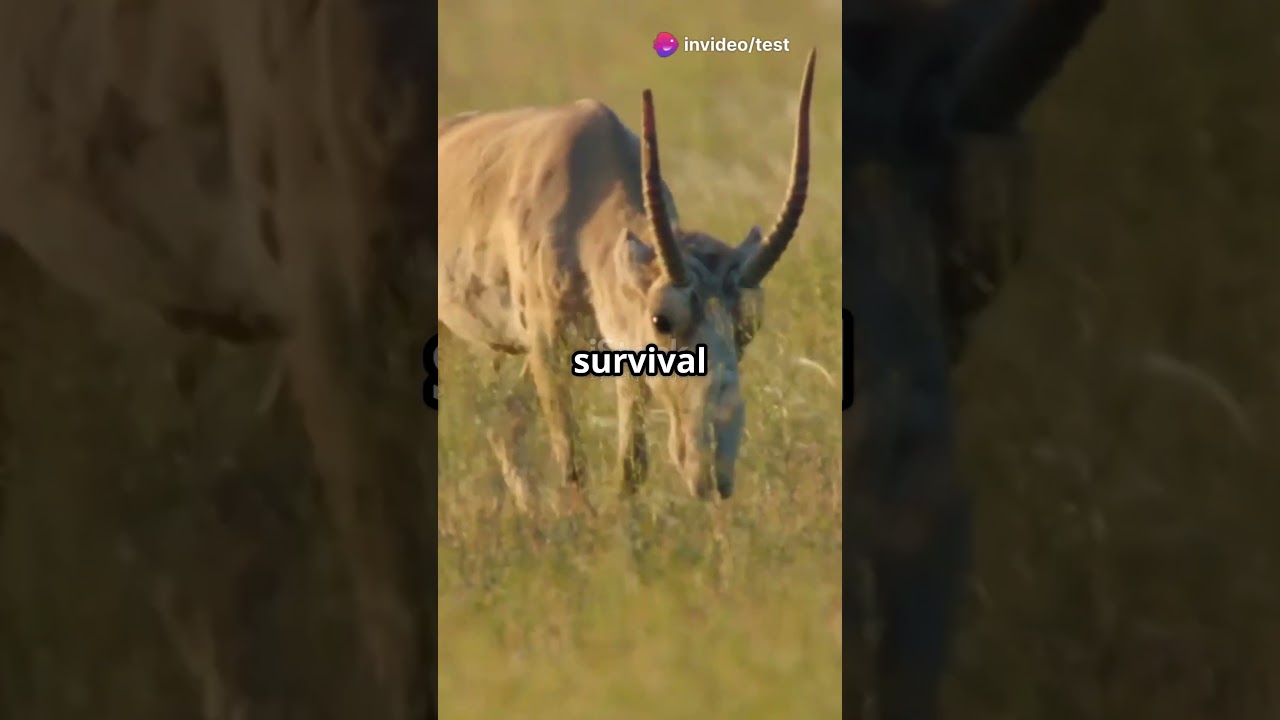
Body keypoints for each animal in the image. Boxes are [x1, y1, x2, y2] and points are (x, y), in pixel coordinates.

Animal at [438, 51, 816, 504]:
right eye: (662, 319)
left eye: (749, 325)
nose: (712, 471)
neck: (584, 200)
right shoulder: (546, 347)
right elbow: (572, 462)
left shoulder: (623, 354)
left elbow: (631, 466)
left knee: (505, 419)